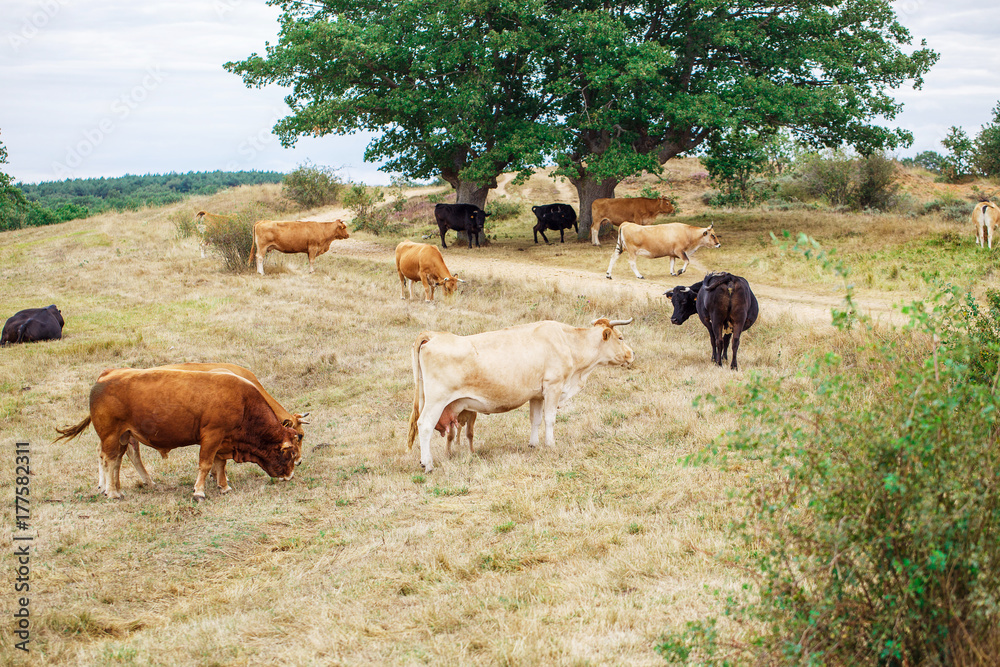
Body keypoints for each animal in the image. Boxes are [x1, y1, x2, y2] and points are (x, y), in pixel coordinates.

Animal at [407, 317, 634, 472]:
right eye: (621, 337)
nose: (632, 353)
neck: (567, 343)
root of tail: (434, 335)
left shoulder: (537, 395)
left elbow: (535, 420)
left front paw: (533, 444)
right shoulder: (553, 387)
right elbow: (550, 419)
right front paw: (550, 444)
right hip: (436, 401)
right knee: (424, 425)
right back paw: (428, 464)